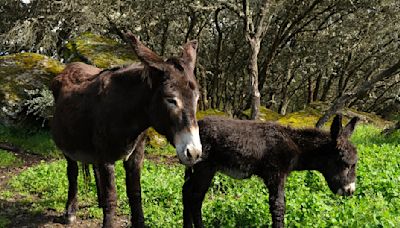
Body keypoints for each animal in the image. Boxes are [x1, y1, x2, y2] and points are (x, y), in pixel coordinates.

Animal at [52, 33, 203, 227]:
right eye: (171, 99)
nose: (194, 153)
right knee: (72, 173)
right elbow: (112, 197)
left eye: (197, 99)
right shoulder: (106, 158)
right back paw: (70, 212)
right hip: (67, 146)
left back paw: (99, 202)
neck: (128, 116)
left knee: (93, 169)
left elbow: (135, 194)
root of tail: (70, 66)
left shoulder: (136, 155)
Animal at [183, 116, 358, 228]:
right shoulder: (276, 174)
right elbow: (278, 206)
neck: (295, 145)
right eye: (345, 163)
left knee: (186, 193)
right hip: (205, 168)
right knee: (196, 198)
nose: (350, 191)